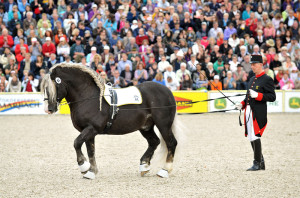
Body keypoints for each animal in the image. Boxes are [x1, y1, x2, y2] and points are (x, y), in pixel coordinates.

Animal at [40, 63, 179, 179]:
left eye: (54, 85)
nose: (49, 109)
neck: (89, 97)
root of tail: (168, 91)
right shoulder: (89, 131)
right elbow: (90, 151)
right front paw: (91, 171)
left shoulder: (92, 128)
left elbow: (77, 143)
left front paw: (83, 167)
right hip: (146, 127)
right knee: (154, 142)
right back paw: (144, 166)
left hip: (163, 125)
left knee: (171, 143)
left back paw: (164, 170)